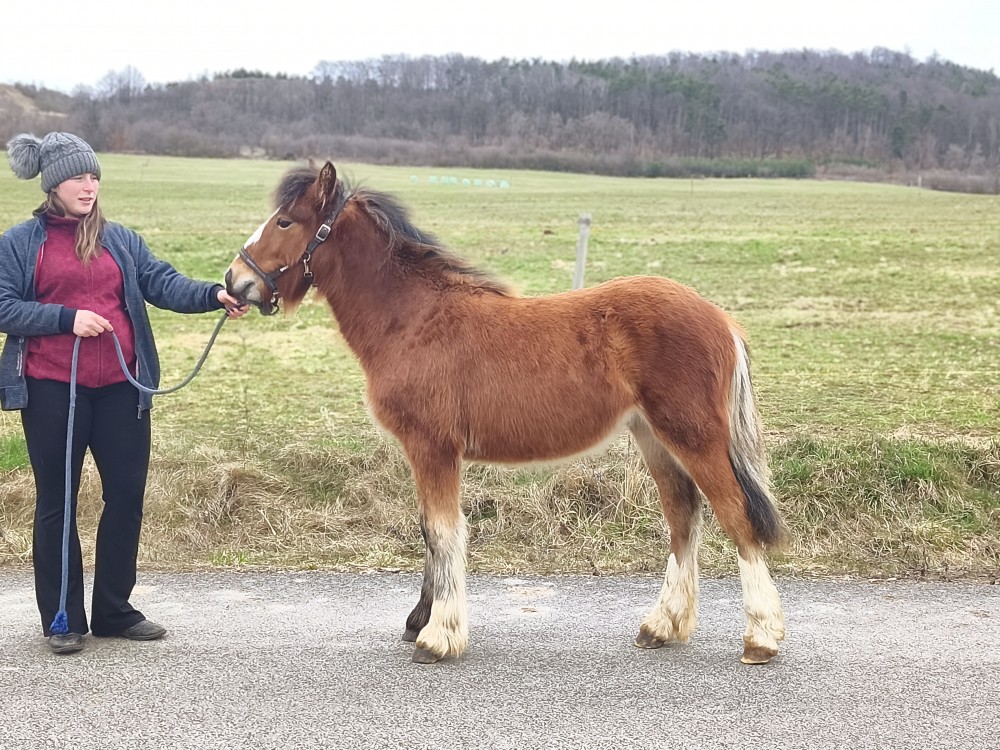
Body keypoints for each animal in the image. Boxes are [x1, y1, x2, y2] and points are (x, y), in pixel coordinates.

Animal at [225, 161, 787, 665]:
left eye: (284, 222)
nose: (234, 281)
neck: (413, 318)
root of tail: (721, 319)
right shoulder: (428, 452)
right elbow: (430, 530)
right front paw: (420, 621)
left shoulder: (433, 447)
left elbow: (444, 532)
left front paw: (438, 637)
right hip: (654, 438)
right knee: (683, 519)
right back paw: (663, 626)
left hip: (693, 436)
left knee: (736, 516)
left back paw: (760, 638)